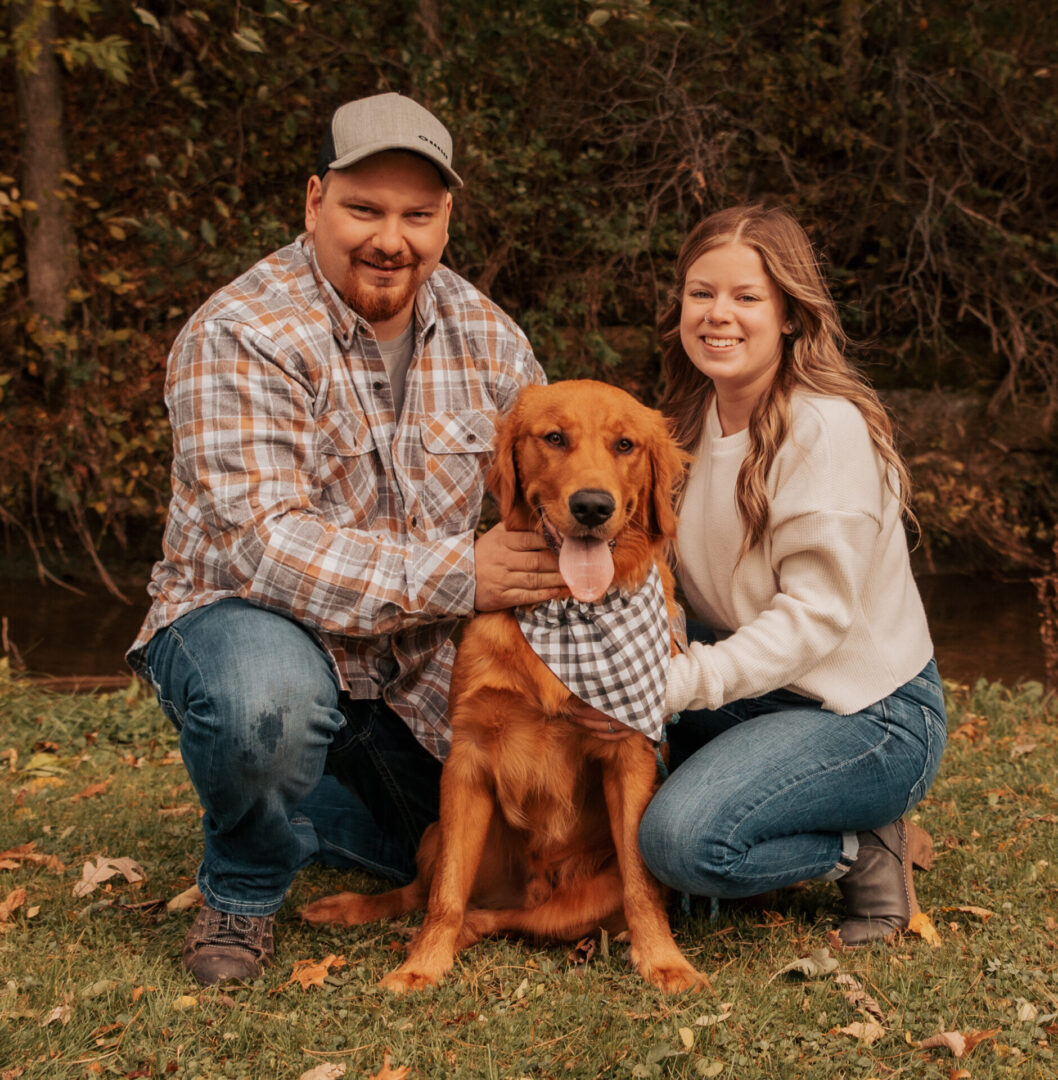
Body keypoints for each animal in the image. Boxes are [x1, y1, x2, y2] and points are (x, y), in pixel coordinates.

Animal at [302, 380, 708, 993]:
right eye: (555, 438)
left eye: (625, 445)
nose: (593, 506)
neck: (567, 611)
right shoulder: (467, 761)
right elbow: (446, 893)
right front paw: (421, 965)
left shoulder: (629, 754)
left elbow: (642, 884)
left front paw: (664, 960)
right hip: (436, 832)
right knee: (423, 893)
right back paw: (361, 913)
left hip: (578, 901)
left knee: (504, 918)